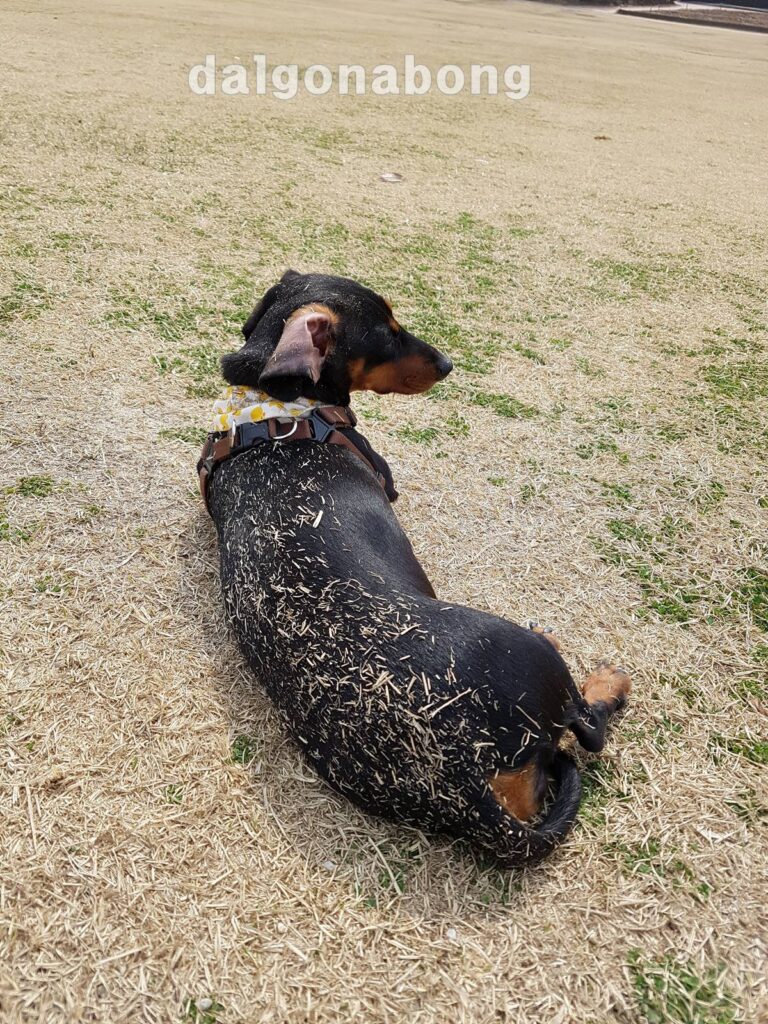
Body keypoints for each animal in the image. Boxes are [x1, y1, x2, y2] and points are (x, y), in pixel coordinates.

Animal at [202, 270, 630, 864]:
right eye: (389, 331)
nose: (448, 363)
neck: (277, 410)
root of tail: (466, 788)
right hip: (530, 656)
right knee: (589, 726)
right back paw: (607, 681)